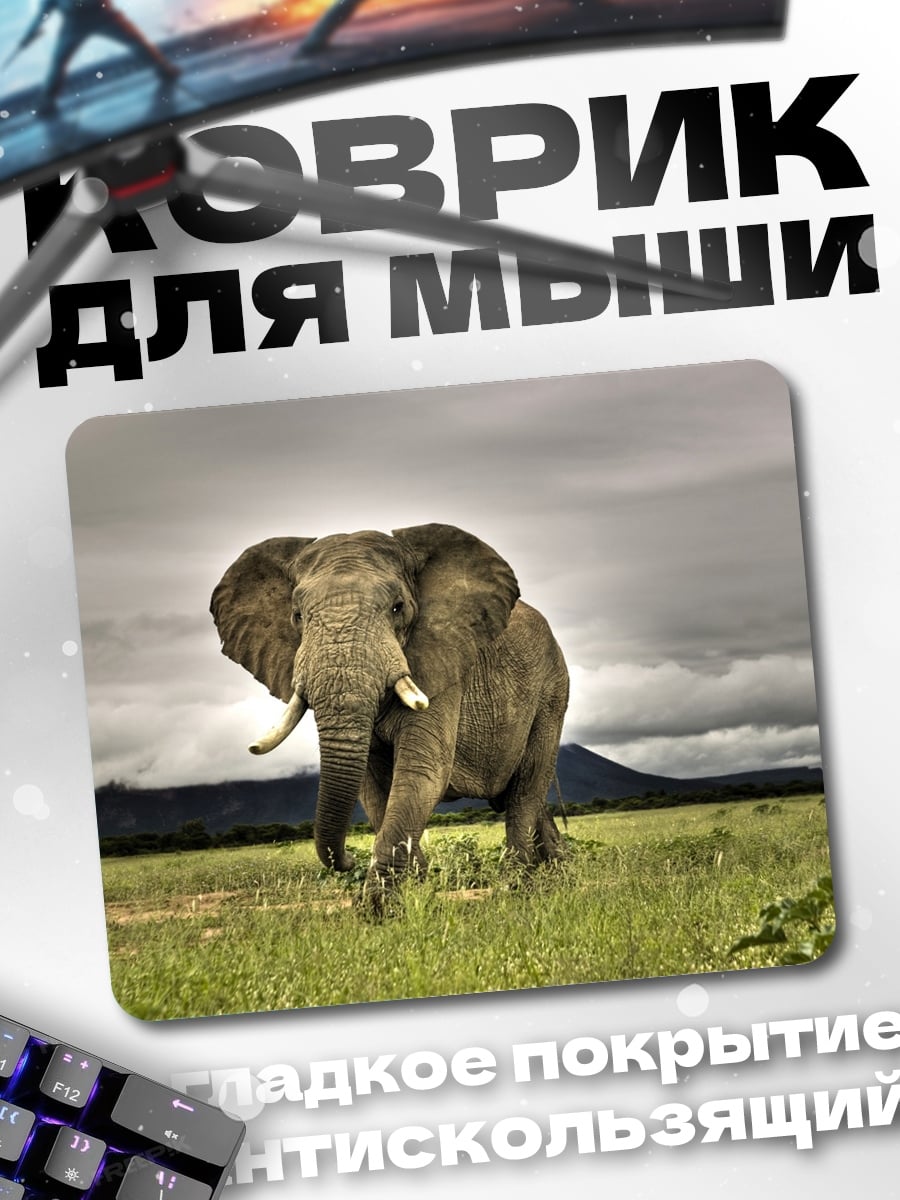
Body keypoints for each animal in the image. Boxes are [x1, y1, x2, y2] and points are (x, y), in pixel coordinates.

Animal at [210, 523, 569, 906]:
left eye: (398, 608)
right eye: (297, 616)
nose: (347, 859)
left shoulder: (442, 664)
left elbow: (421, 770)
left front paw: (378, 908)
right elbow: (371, 787)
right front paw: (416, 886)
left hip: (552, 691)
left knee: (526, 787)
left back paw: (518, 889)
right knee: (528, 796)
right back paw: (560, 873)